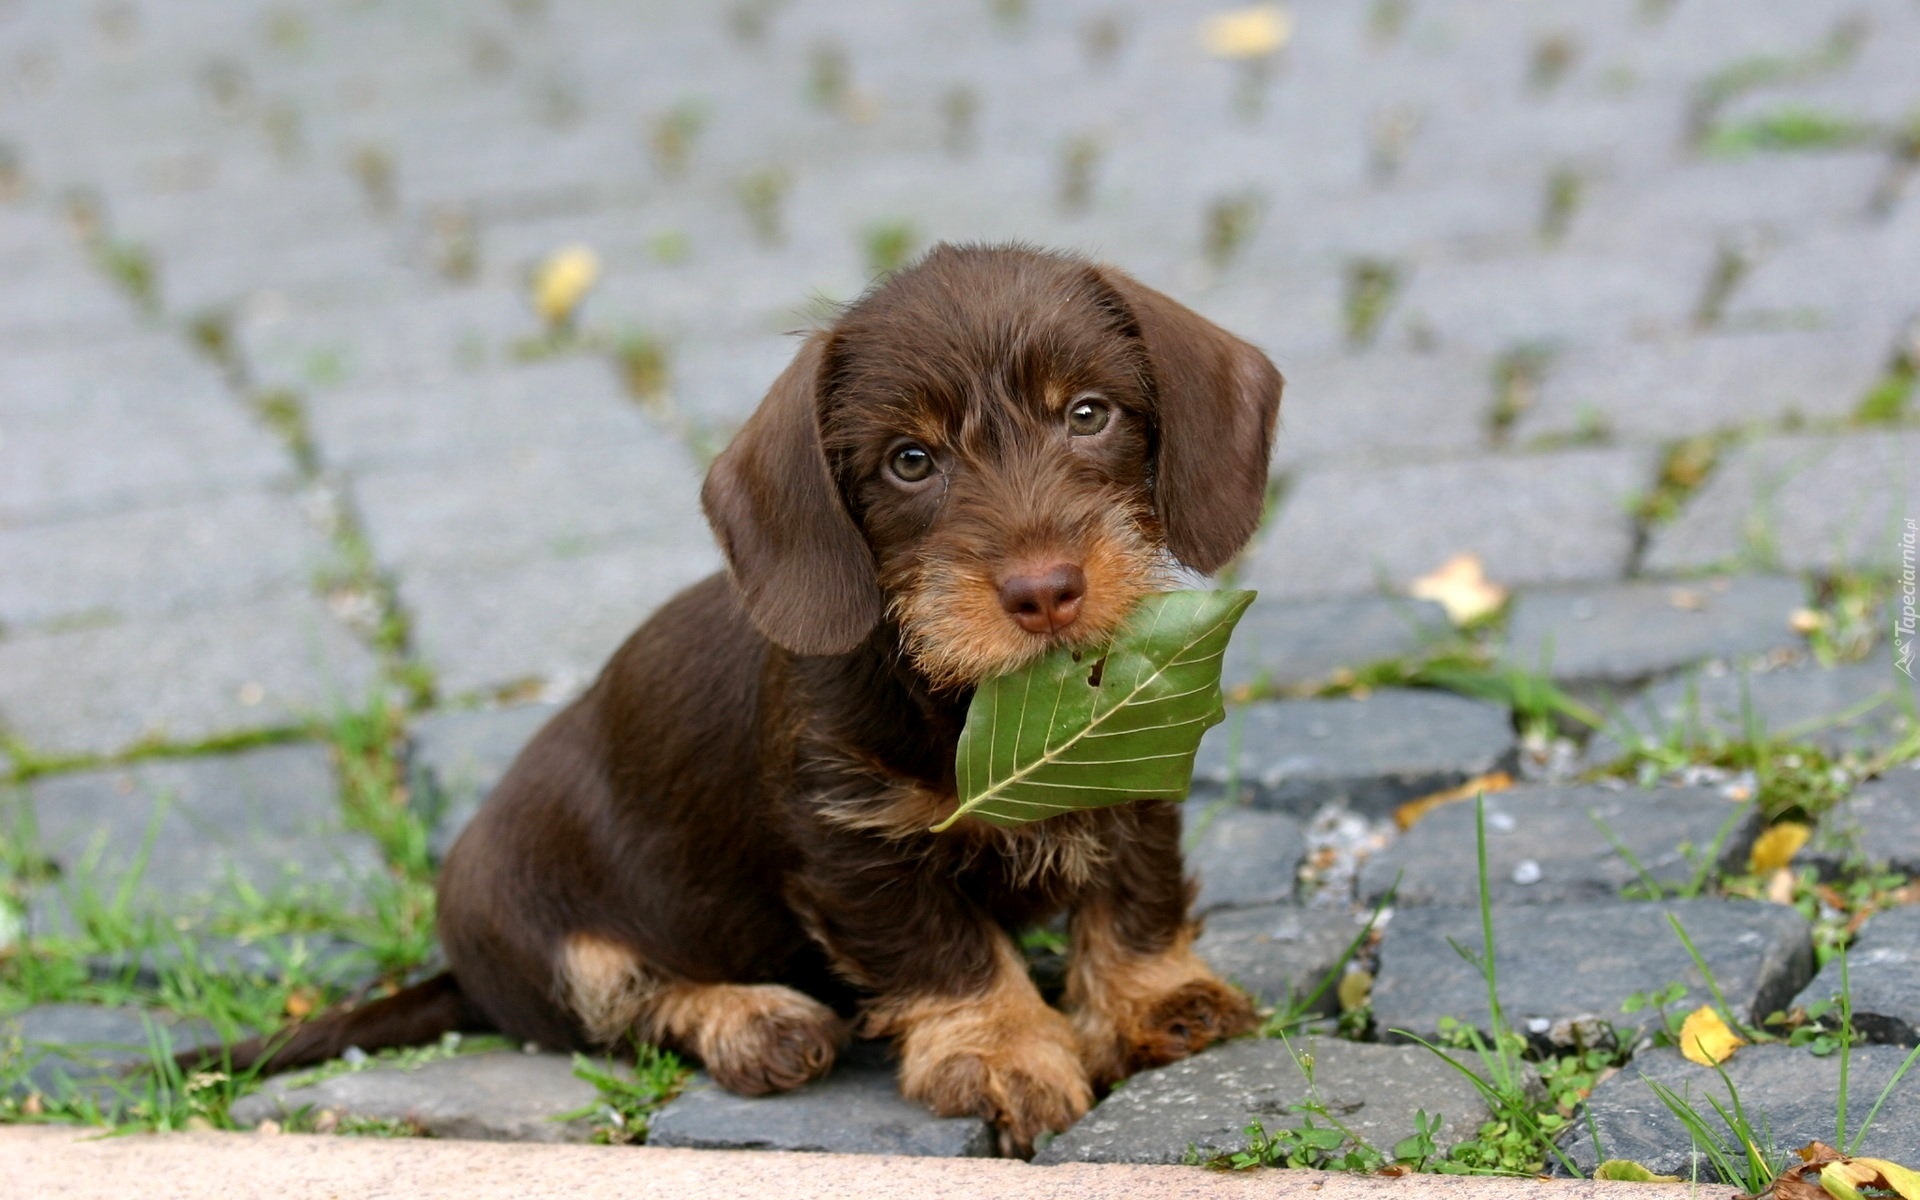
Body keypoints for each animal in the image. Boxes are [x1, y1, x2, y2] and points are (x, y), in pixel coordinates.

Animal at [217, 240, 1282, 1152]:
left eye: (1089, 413)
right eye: (910, 461)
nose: (1045, 590)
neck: (972, 701)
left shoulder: (1134, 768)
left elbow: (1135, 895)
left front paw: (1153, 1000)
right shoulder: (856, 847)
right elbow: (946, 952)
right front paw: (1002, 1051)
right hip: (532, 926)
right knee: (625, 1008)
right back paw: (755, 1021)